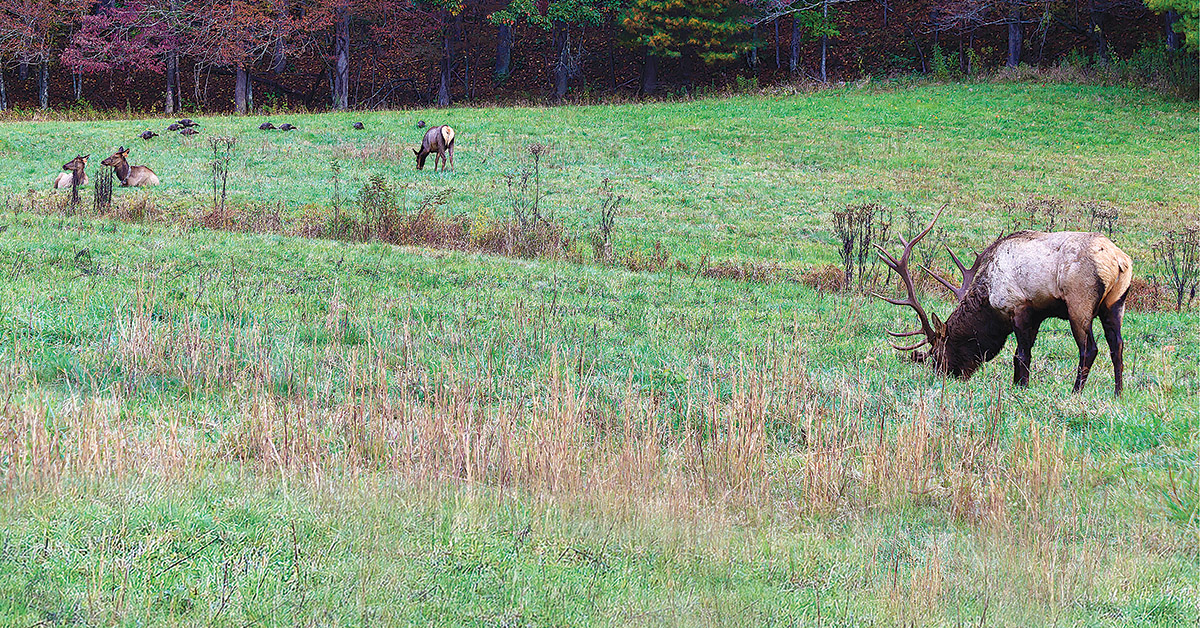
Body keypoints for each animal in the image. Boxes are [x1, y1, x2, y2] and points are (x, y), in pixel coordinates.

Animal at [874, 207, 1132, 395]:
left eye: (937, 353)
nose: (945, 376)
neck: (989, 302)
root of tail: (1119, 261)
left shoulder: (1018, 307)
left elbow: (1021, 355)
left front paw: (1021, 387)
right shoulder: (1036, 314)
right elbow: (1022, 354)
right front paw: (1019, 385)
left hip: (1079, 303)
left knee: (1090, 348)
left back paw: (1075, 391)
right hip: (1115, 304)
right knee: (1117, 345)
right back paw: (1118, 393)